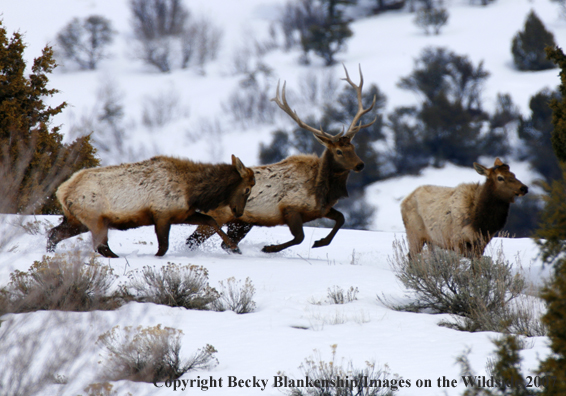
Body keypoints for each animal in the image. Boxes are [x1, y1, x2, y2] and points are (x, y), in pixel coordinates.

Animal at [46, 156, 255, 258]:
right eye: (247, 189)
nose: (239, 211)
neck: (192, 192)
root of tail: (62, 192)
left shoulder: (182, 214)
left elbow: (210, 220)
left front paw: (235, 248)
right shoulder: (161, 214)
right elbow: (163, 246)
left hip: (77, 221)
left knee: (54, 233)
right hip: (96, 219)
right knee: (101, 246)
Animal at [186, 63, 380, 252]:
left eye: (353, 147)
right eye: (339, 151)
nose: (360, 165)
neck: (322, 191)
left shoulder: (321, 210)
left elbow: (341, 218)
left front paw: (320, 242)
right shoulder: (290, 209)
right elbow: (300, 237)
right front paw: (270, 248)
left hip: (241, 222)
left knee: (222, 243)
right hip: (219, 214)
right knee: (192, 240)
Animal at [402, 159, 532, 258]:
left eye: (513, 175)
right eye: (500, 178)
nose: (524, 188)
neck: (482, 223)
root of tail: (403, 201)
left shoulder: (481, 244)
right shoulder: (457, 241)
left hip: (431, 241)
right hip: (415, 235)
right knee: (410, 256)